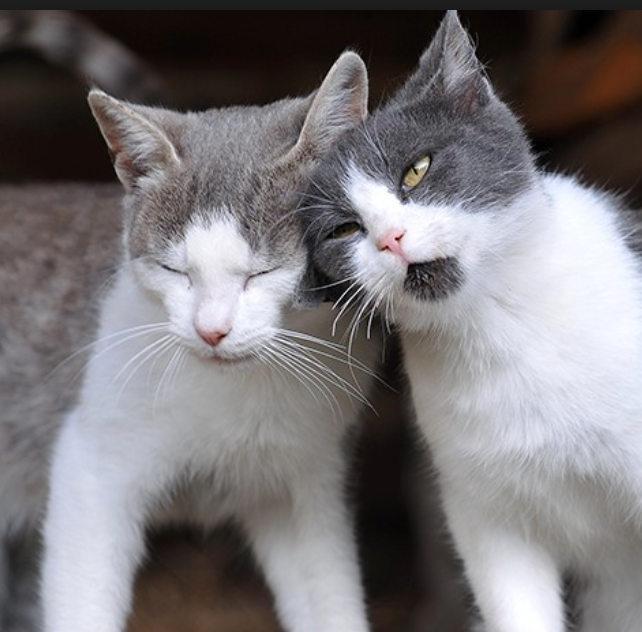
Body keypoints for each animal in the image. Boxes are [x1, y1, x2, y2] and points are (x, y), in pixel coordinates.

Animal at [0, 50, 382, 632]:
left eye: (263, 272)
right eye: (174, 270)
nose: (211, 328)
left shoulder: (305, 480)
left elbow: (330, 599)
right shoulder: (90, 466)